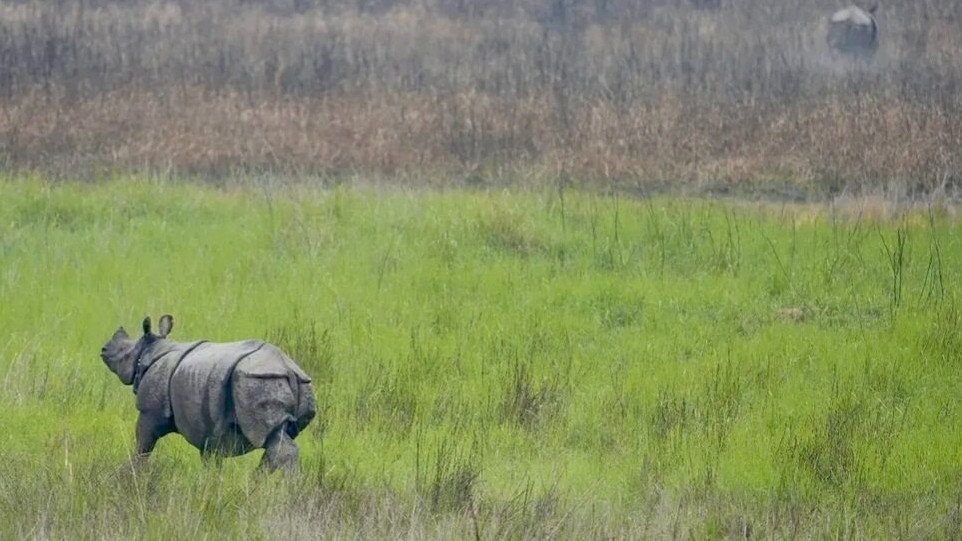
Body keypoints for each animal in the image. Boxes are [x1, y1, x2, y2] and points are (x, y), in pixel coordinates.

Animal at [100, 315, 316, 472]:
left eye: (123, 352)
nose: (103, 349)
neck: (149, 351)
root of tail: (288, 368)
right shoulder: (207, 426)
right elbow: (211, 457)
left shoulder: (150, 411)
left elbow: (143, 444)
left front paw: (130, 472)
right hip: (294, 382)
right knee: (278, 437)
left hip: (259, 379)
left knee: (274, 439)